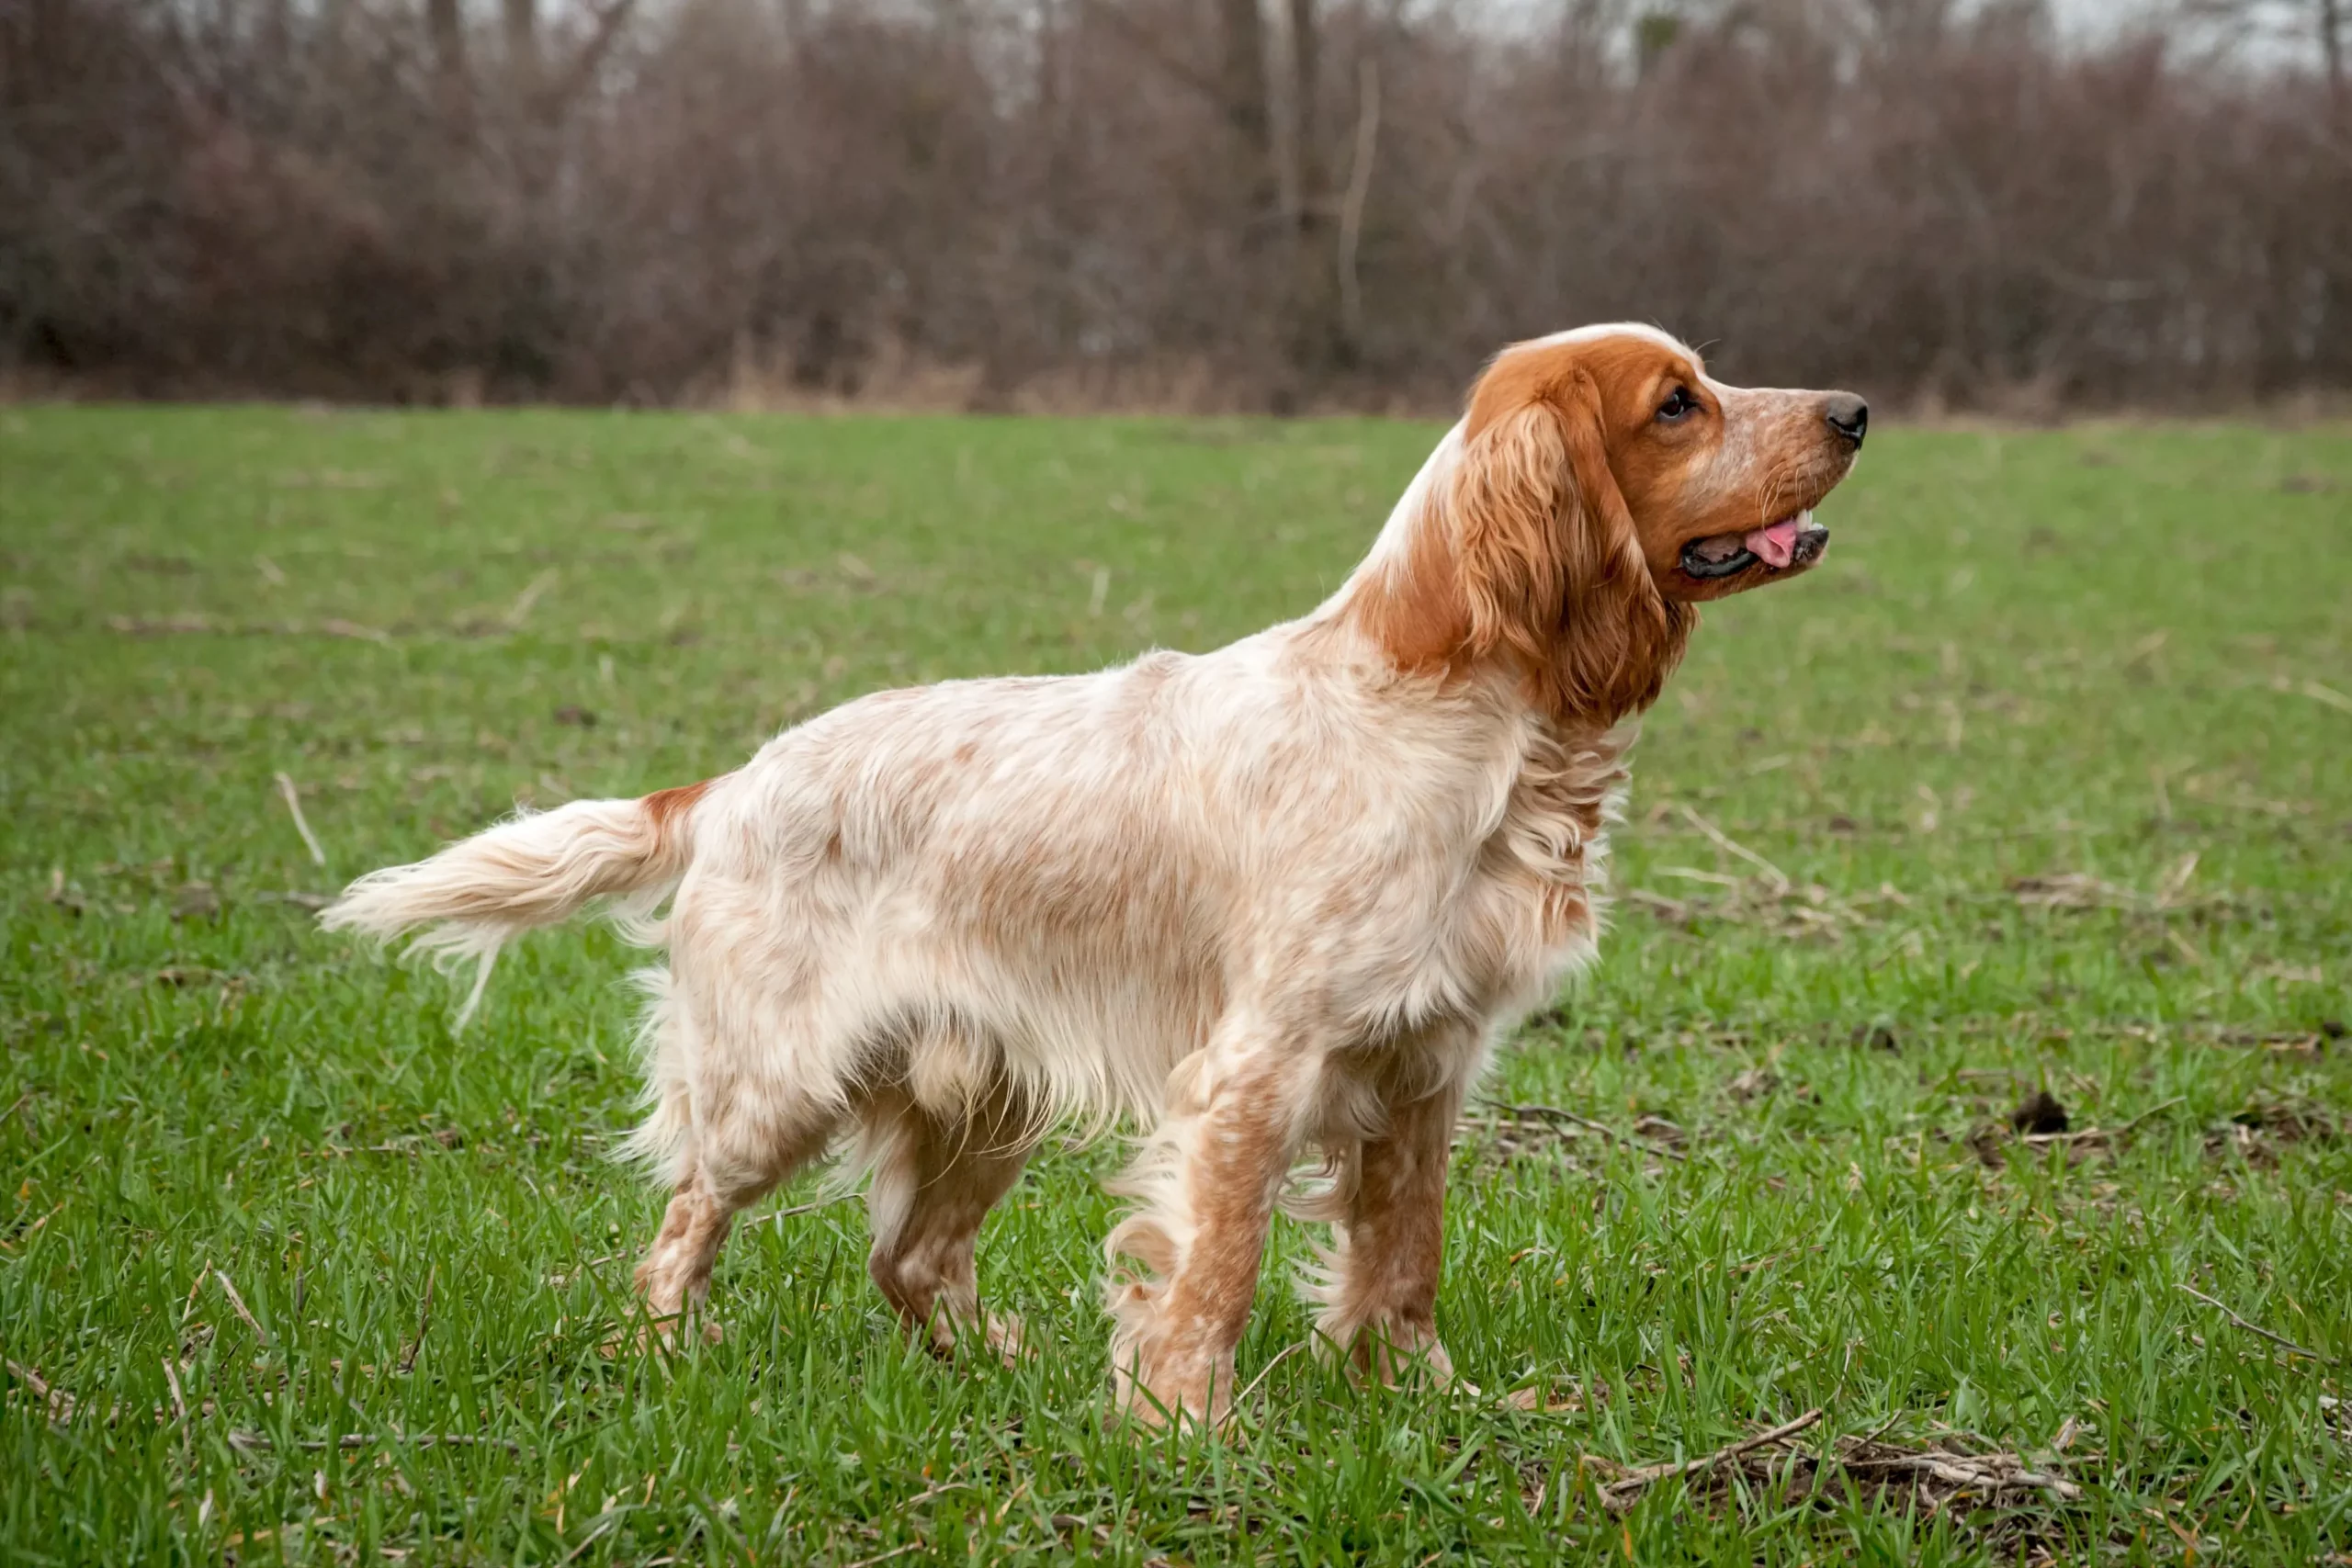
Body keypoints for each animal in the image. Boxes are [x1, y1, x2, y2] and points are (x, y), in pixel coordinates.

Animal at [326, 324, 1871, 1429]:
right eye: (1676, 404)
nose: (1854, 410)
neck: (1462, 712)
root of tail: (733, 783)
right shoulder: (1258, 1065)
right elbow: (1219, 1265)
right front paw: (1189, 1428)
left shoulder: (1425, 1064)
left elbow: (1405, 1262)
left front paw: (1436, 1402)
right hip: (779, 1081)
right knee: (682, 1222)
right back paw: (669, 1355)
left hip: (984, 1096)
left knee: (907, 1259)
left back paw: (996, 1363)